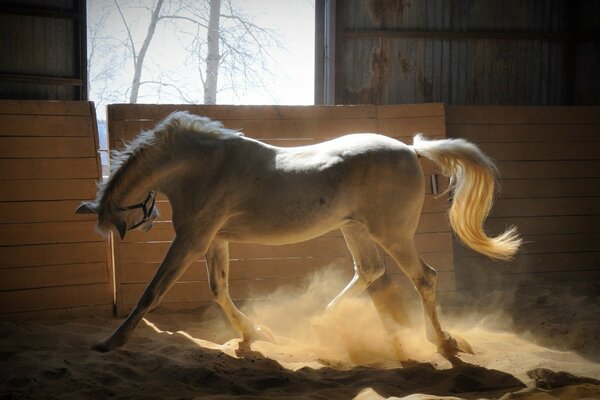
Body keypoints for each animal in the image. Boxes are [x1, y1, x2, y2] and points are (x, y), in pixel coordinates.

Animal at [77, 111, 520, 358]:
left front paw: (111, 342)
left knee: (424, 278)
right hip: (354, 229)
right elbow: (219, 290)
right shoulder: (214, 242)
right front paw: (252, 335)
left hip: (393, 234)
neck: (204, 166)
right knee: (370, 272)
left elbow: (152, 293)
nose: (146, 222)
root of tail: (411, 150)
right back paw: (322, 322)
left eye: (120, 221)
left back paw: (443, 342)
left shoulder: (191, 240)